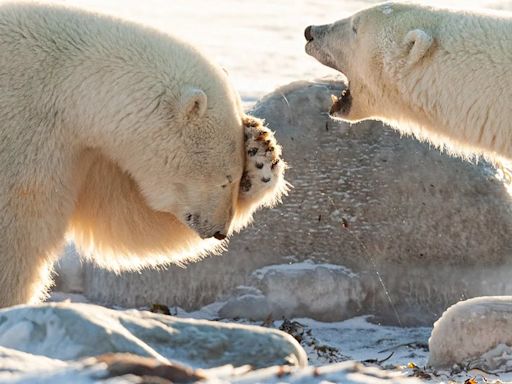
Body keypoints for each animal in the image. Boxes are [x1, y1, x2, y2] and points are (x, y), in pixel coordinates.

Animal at [0, 3, 288, 308]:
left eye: (238, 177)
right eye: (225, 179)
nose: (220, 230)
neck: (69, 85)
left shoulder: (83, 149)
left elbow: (124, 215)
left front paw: (261, 152)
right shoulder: (26, 135)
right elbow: (19, 234)